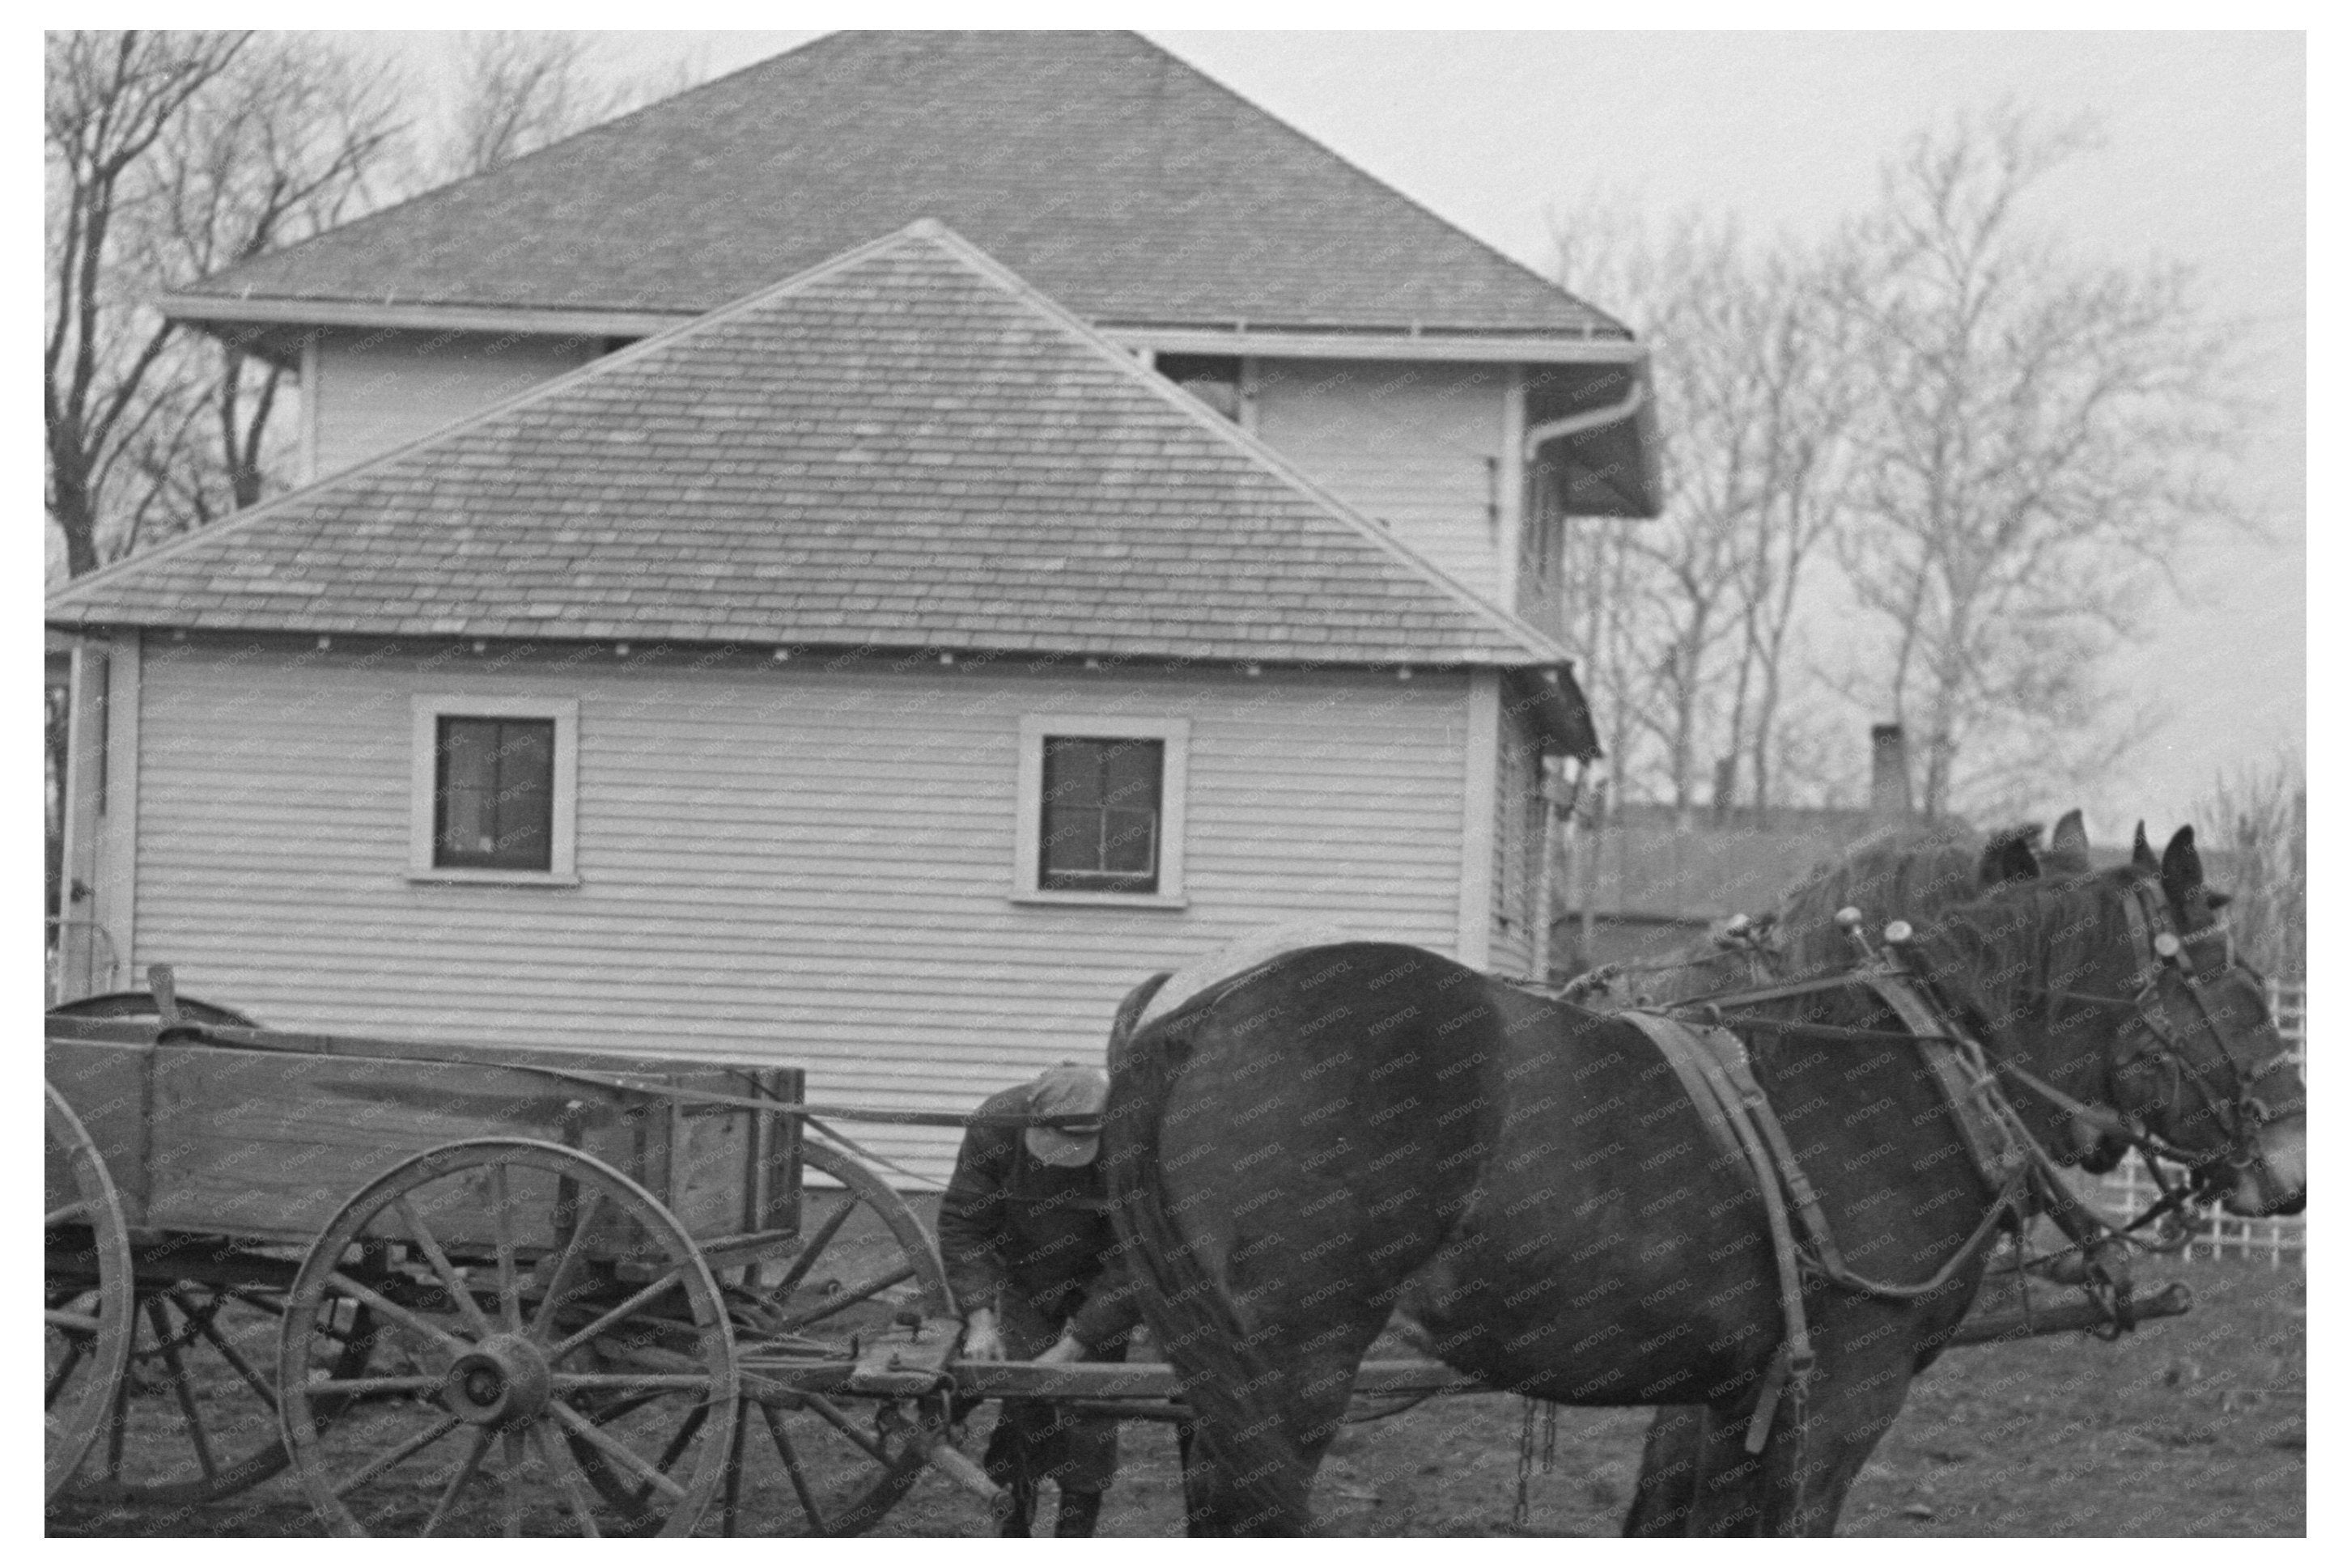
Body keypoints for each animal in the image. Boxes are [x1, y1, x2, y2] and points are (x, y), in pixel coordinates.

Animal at [1100, 827, 2294, 1542]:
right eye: (2237, 982)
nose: (2287, 1162)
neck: (1915, 1069)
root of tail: (1199, 1011)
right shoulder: (1849, 1387)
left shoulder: (1731, 1396)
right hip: (1292, 1361)